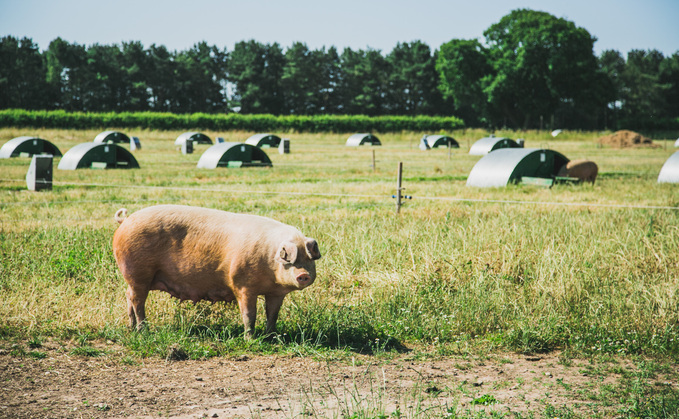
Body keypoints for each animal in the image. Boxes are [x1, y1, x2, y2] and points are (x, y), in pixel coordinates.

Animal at [111, 206, 322, 338]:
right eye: (290, 258)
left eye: (308, 259)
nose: (303, 274)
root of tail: (126, 219)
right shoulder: (242, 285)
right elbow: (249, 314)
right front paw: (250, 339)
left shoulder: (276, 293)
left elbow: (272, 314)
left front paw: (271, 336)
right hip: (138, 273)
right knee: (137, 300)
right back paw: (143, 330)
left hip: (134, 279)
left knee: (128, 296)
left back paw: (132, 329)